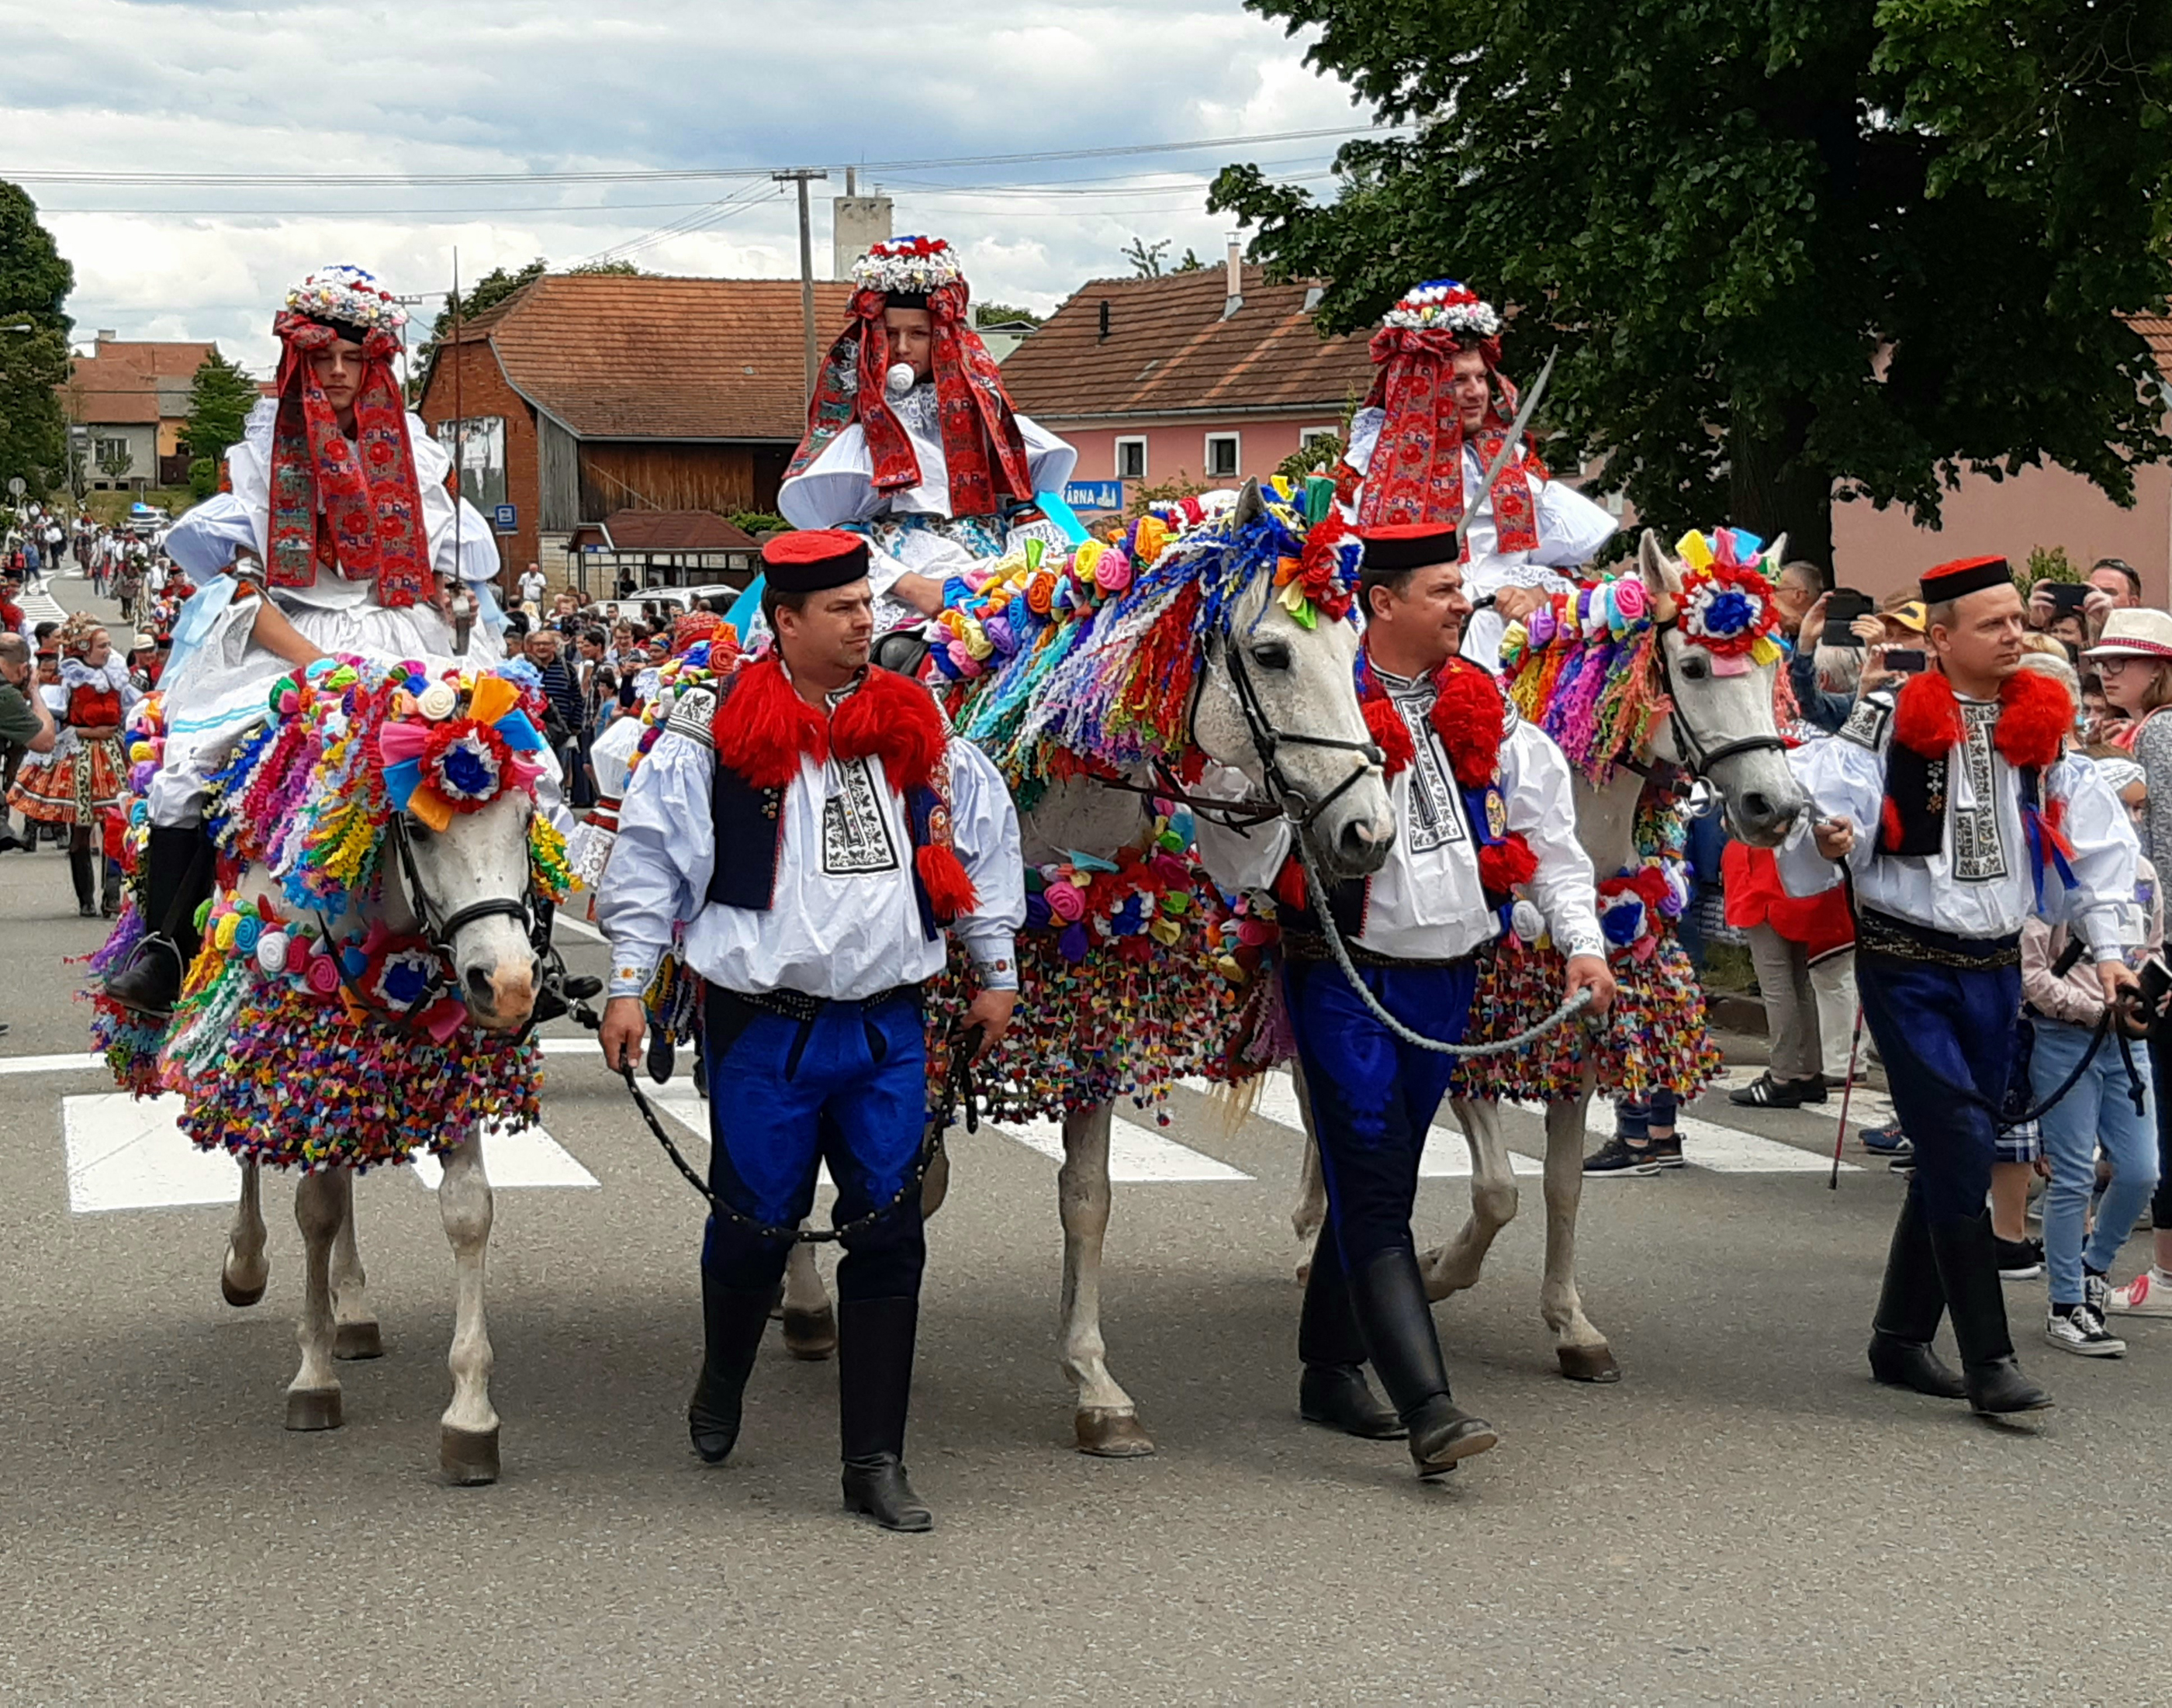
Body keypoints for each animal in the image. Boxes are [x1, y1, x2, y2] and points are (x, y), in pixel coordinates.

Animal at [92, 652, 573, 1478]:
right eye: (416, 827)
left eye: (523, 822)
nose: (509, 985)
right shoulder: (297, 1035)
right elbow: (312, 1210)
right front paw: (312, 1376)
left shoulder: (450, 1061)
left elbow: (467, 1214)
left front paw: (470, 1412)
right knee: (259, 1161)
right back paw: (248, 1267)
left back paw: (352, 1308)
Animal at [769, 478, 1390, 1451]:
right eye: (1270, 652)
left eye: (1357, 649)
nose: (1367, 833)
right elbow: (907, 1176)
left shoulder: (1093, 989)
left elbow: (1086, 1198)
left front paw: (1094, 1384)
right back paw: (796, 1300)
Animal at [1285, 525, 1815, 1373]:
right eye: (1694, 668)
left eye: (1773, 670)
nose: (1778, 808)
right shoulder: (1465, 1035)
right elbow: (1497, 1190)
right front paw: (1438, 1270)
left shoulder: (1583, 1027)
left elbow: (1561, 1185)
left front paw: (1570, 1323)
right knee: (1316, 1102)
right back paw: (1313, 1237)